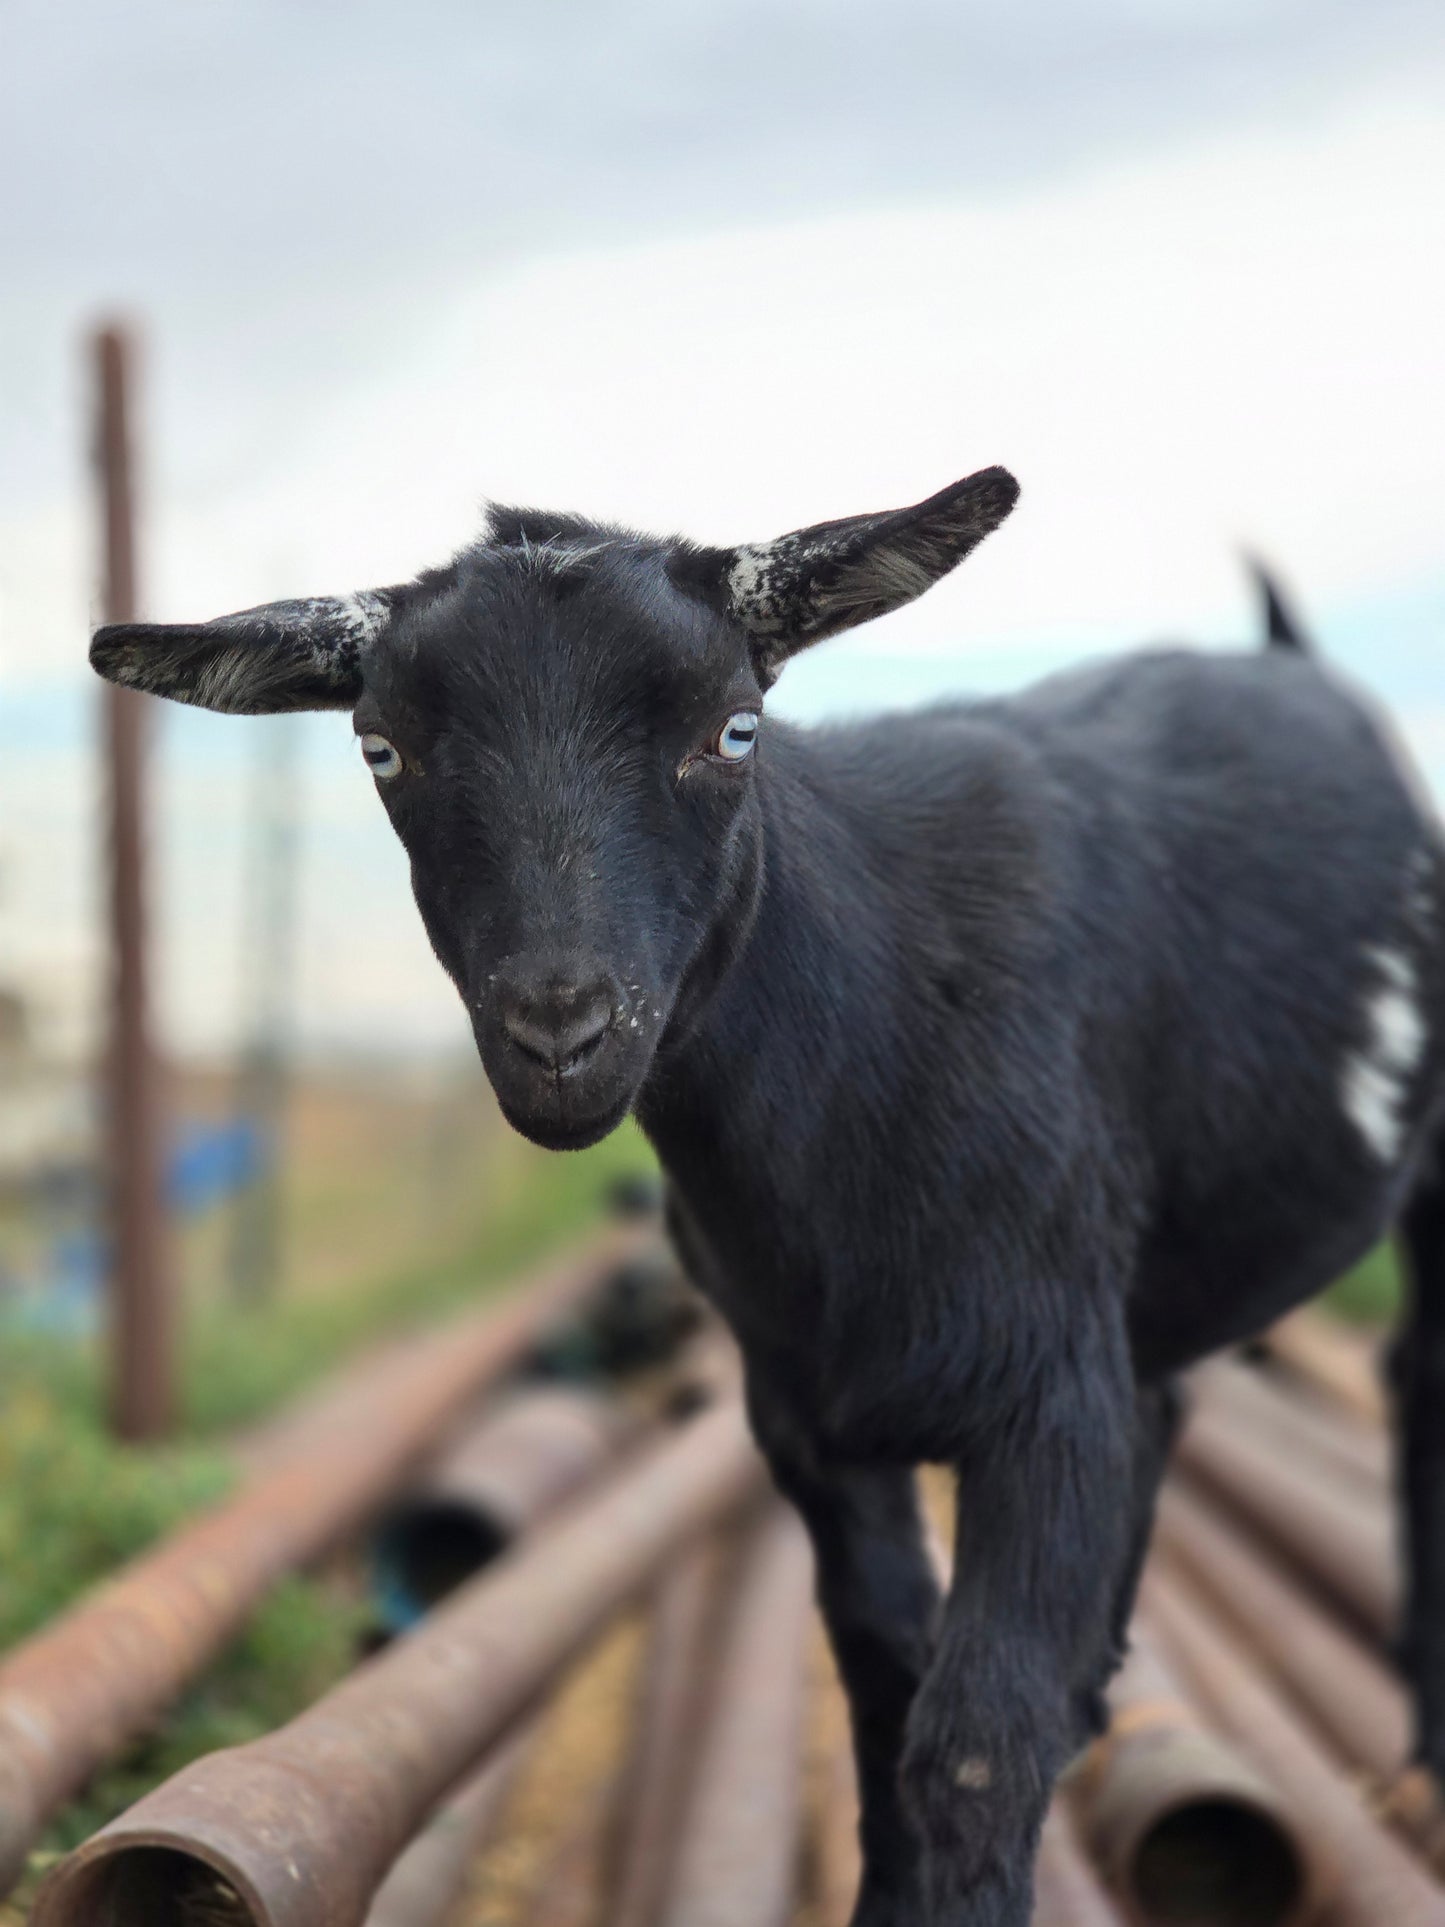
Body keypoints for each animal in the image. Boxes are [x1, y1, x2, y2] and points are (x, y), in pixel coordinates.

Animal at [92, 469, 1445, 1925]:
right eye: (380, 748)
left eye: (733, 730)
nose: (559, 1030)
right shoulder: (805, 1415)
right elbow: (884, 1695)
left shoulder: (1046, 1400)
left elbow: (971, 1742)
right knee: (1174, 1396)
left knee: (1407, 1374)